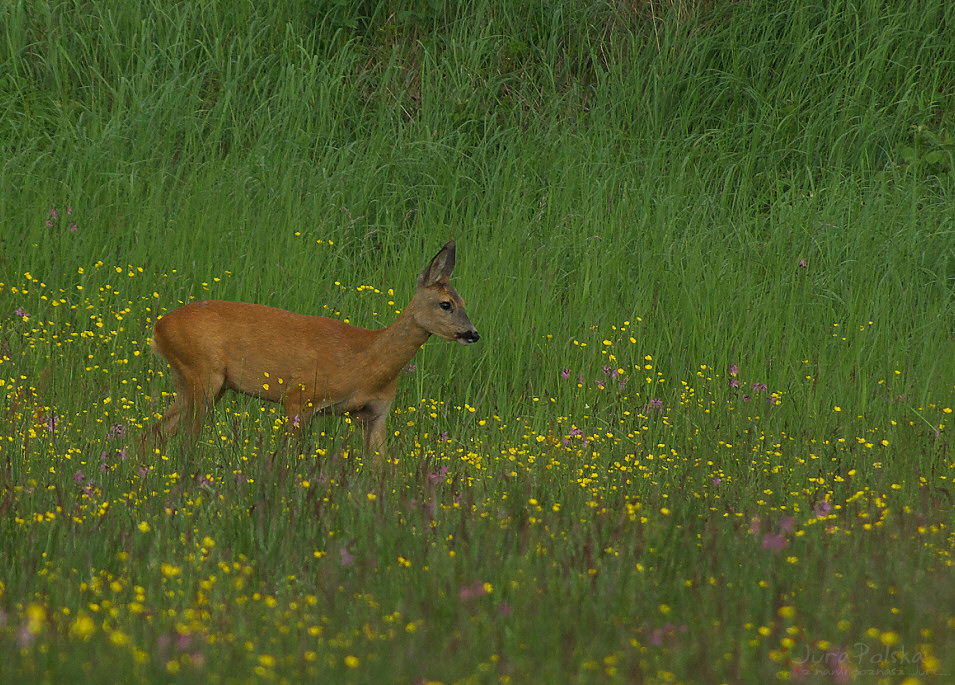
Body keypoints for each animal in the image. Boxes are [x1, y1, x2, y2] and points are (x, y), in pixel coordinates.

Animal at [147, 240, 482, 460]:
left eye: (464, 302)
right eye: (446, 304)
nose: (473, 334)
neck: (365, 360)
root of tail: (158, 327)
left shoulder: (377, 414)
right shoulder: (300, 396)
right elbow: (288, 460)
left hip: (197, 382)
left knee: (154, 433)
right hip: (203, 374)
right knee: (184, 441)